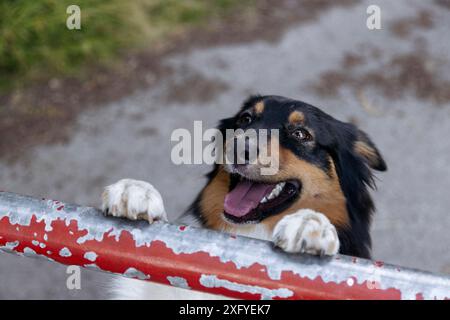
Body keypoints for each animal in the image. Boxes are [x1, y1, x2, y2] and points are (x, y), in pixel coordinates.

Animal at [102, 94, 386, 298]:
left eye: (301, 134)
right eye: (245, 120)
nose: (239, 148)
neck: (253, 236)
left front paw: (309, 223)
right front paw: (135, 190)